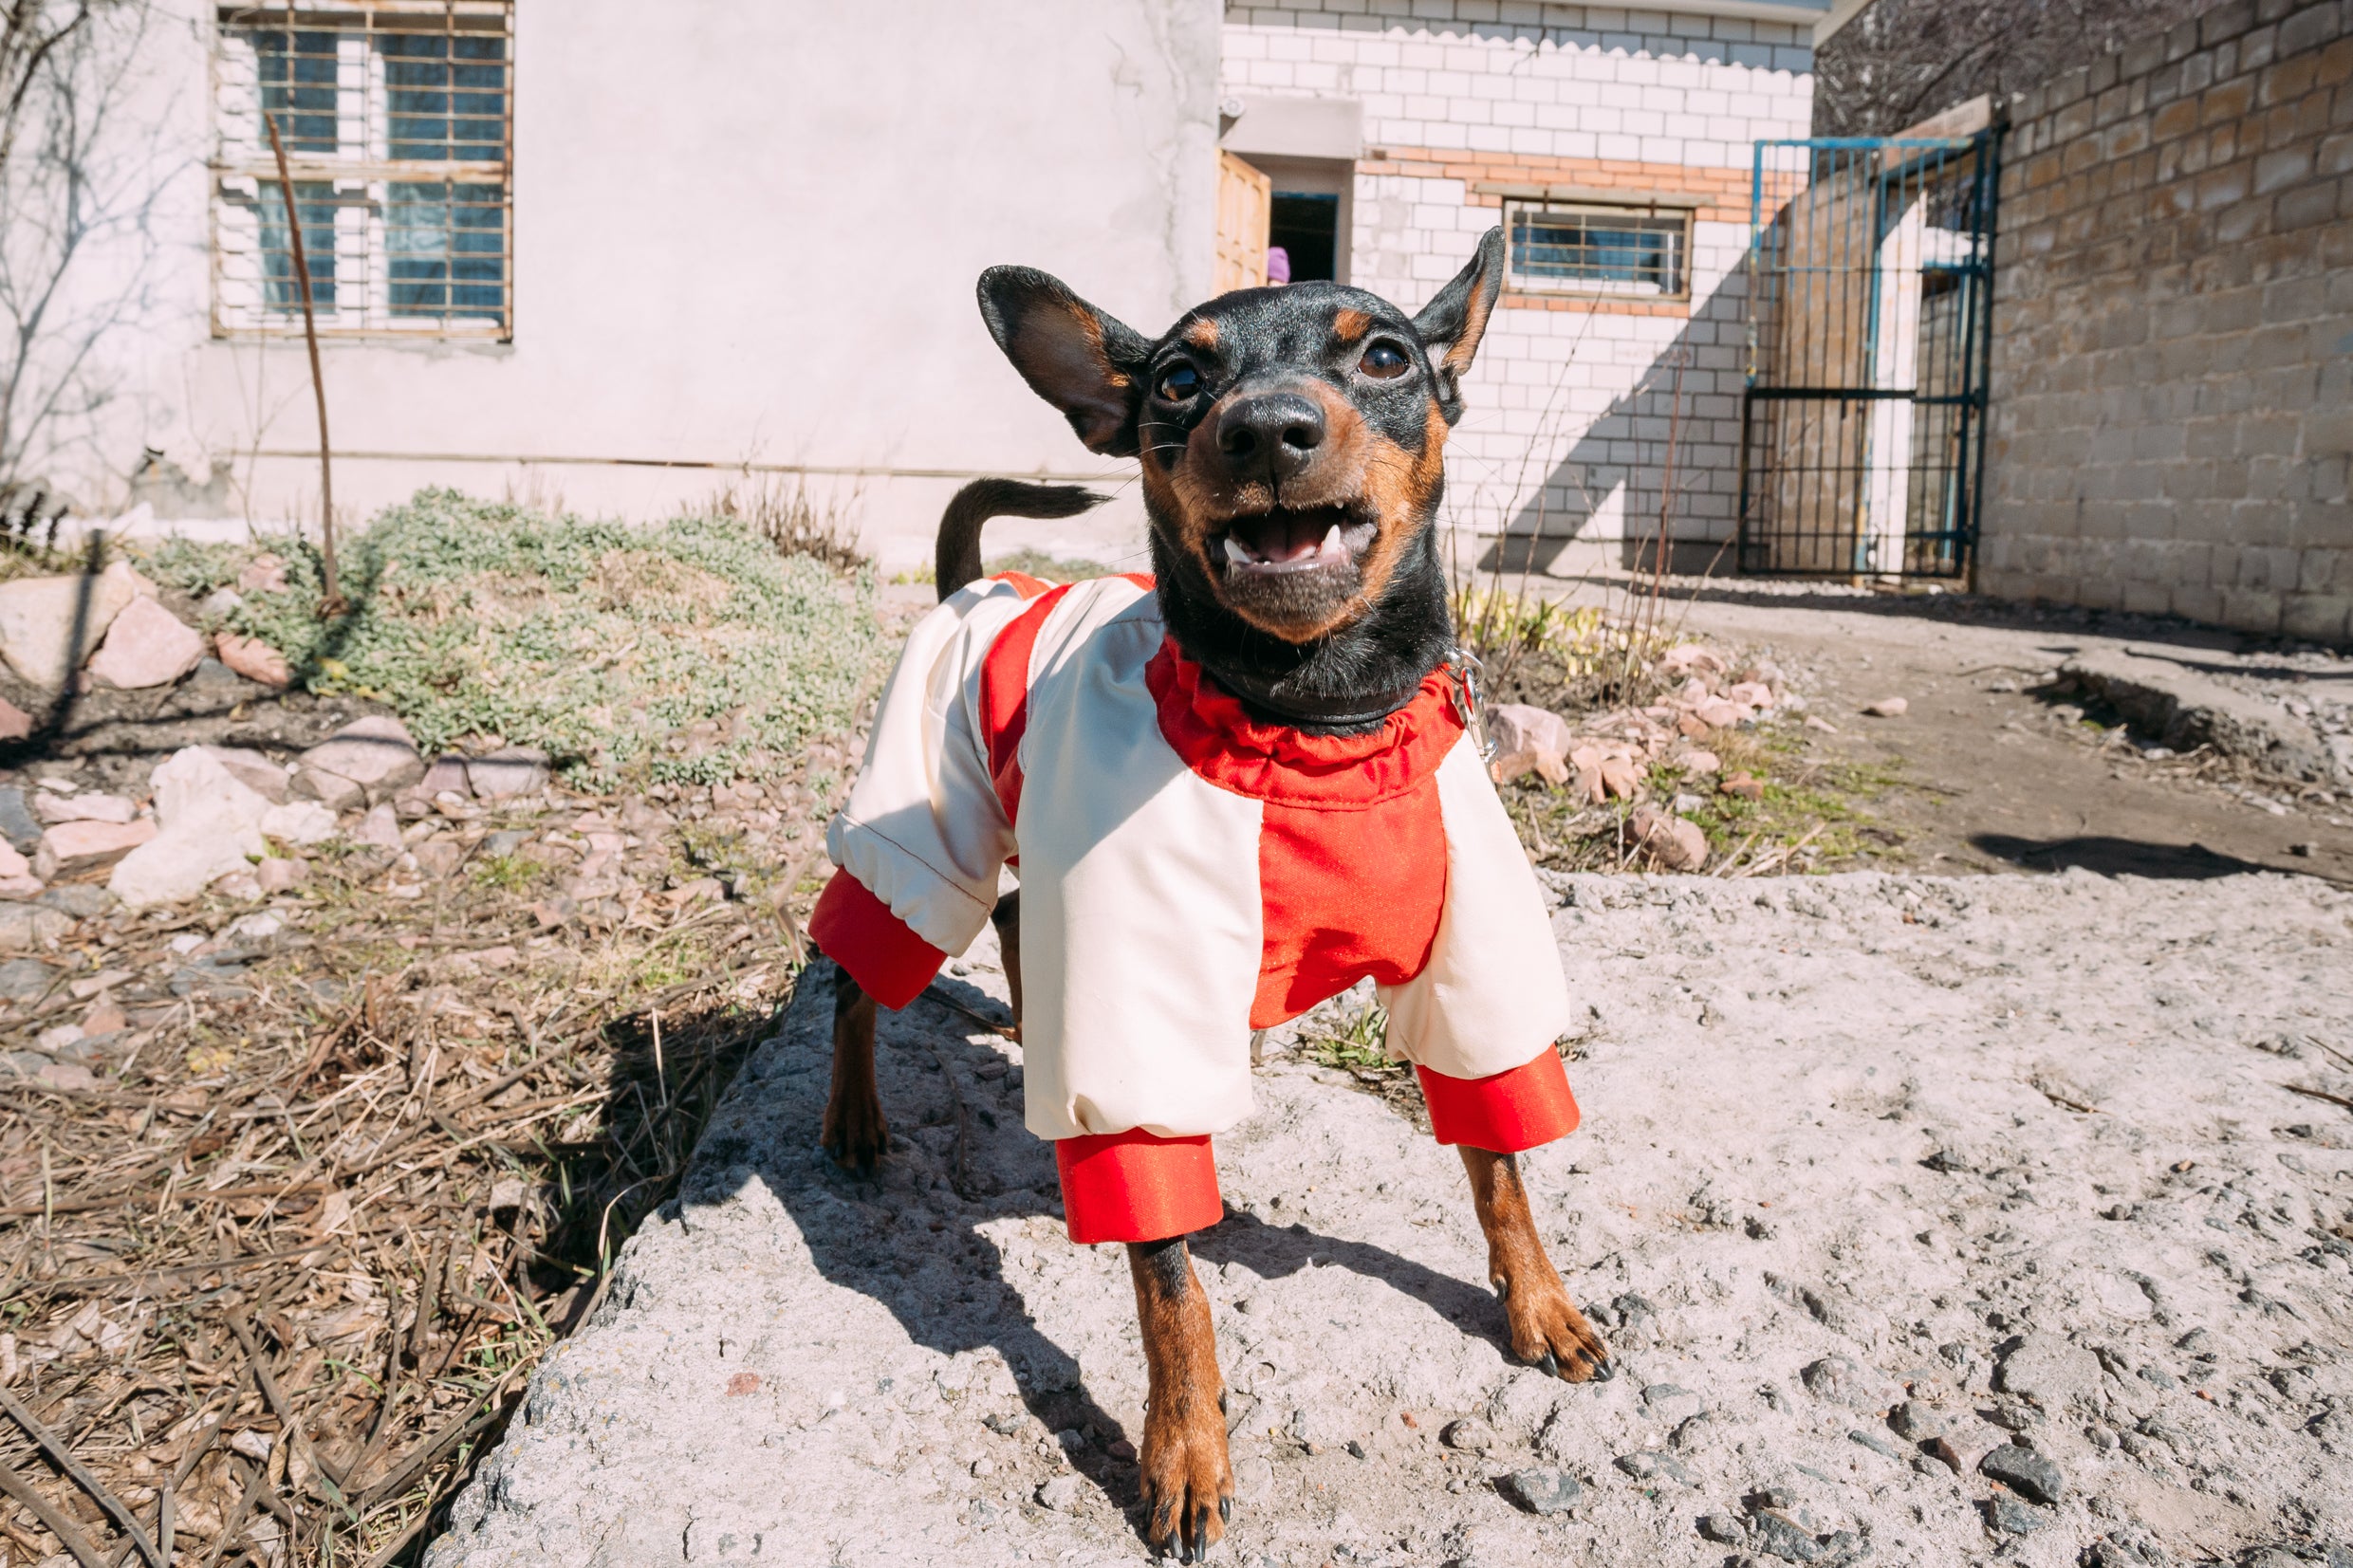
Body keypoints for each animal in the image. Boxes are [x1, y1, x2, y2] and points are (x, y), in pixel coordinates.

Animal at [805, 227, 1600, 1560]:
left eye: (1387, 357)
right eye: (1178, 380)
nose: (1268, 427)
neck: (1313, 722)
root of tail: (977, 587)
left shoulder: (1470, 971)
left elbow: (1499, 1160)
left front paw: (1539, 1304)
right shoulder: (1139, 1030)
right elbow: (1168, 1282)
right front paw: (1184, 1451)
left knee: (1014, 925)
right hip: (928, 838)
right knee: (862, 975)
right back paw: (854, 1117)